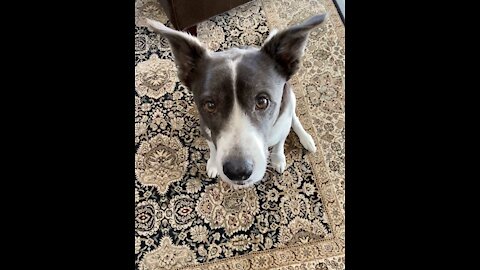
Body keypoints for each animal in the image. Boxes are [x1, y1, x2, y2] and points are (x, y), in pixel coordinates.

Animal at [146, 14, 326, 188]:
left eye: (262, 101)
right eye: (210, 105)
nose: (238, 171)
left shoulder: (281, 126)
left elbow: (279, 144)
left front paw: (278, 159)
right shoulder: (206, 129)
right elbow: (212, 148)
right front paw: (213, 164)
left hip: (291, 99)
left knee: (293, 118)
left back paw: (306, 139)